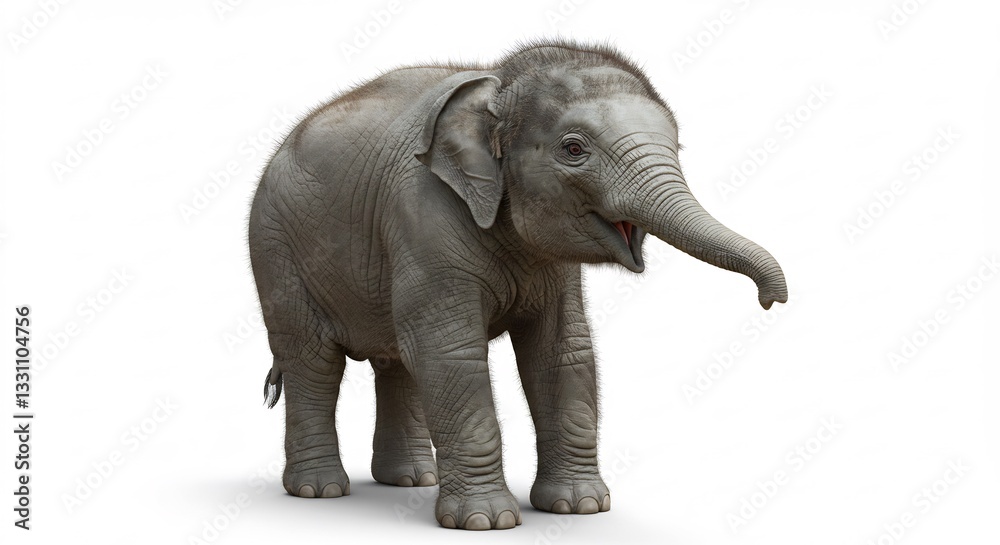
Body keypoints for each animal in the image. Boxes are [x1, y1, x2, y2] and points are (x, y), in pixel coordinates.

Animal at [247, 39, 787, 530]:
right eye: (574, 149)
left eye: (677, 147)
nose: (772, 300)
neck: (496, 87)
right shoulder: (422, 214)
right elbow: (450, 351)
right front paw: (487, 521)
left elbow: (562, 351)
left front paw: (580, 508)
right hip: (276, 252)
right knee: (314, 360)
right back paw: (320, 491)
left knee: (394, 359)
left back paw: (411, 481)